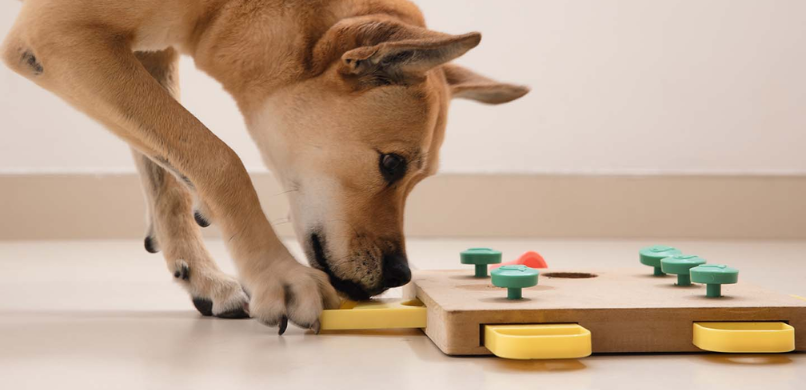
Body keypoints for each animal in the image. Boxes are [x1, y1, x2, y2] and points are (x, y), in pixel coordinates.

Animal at [1, 0, 532, 334]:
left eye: (418, 177)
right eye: (391, 163)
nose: (400, 274)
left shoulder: (142, 50)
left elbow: (167, 174)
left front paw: (199, 275)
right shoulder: (60, 36)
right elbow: (217, 156)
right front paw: (277, 273)